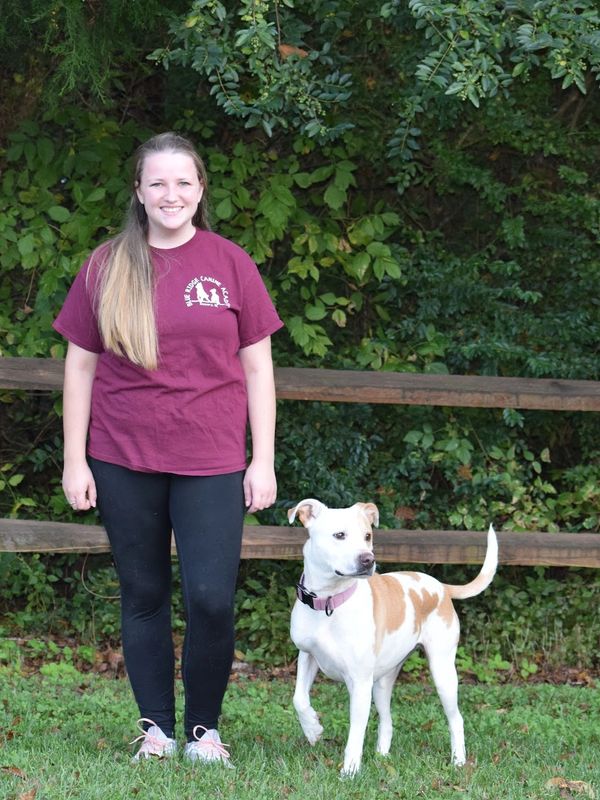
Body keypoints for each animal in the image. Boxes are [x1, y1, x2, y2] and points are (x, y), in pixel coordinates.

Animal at [288, 496, 500, 780]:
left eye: (368, 535)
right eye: (339, 535)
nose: (368, 559)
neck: (329, 603)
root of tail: (441, 587)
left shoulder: (359, 683)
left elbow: (355, 732)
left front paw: (350, 770)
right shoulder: (307, 656)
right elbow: (299, 699)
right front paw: (312, 729)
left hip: (443, 673)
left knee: (456, 719)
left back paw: (458, 760)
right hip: (383, 681)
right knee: (387, 721)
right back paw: (382, 756)